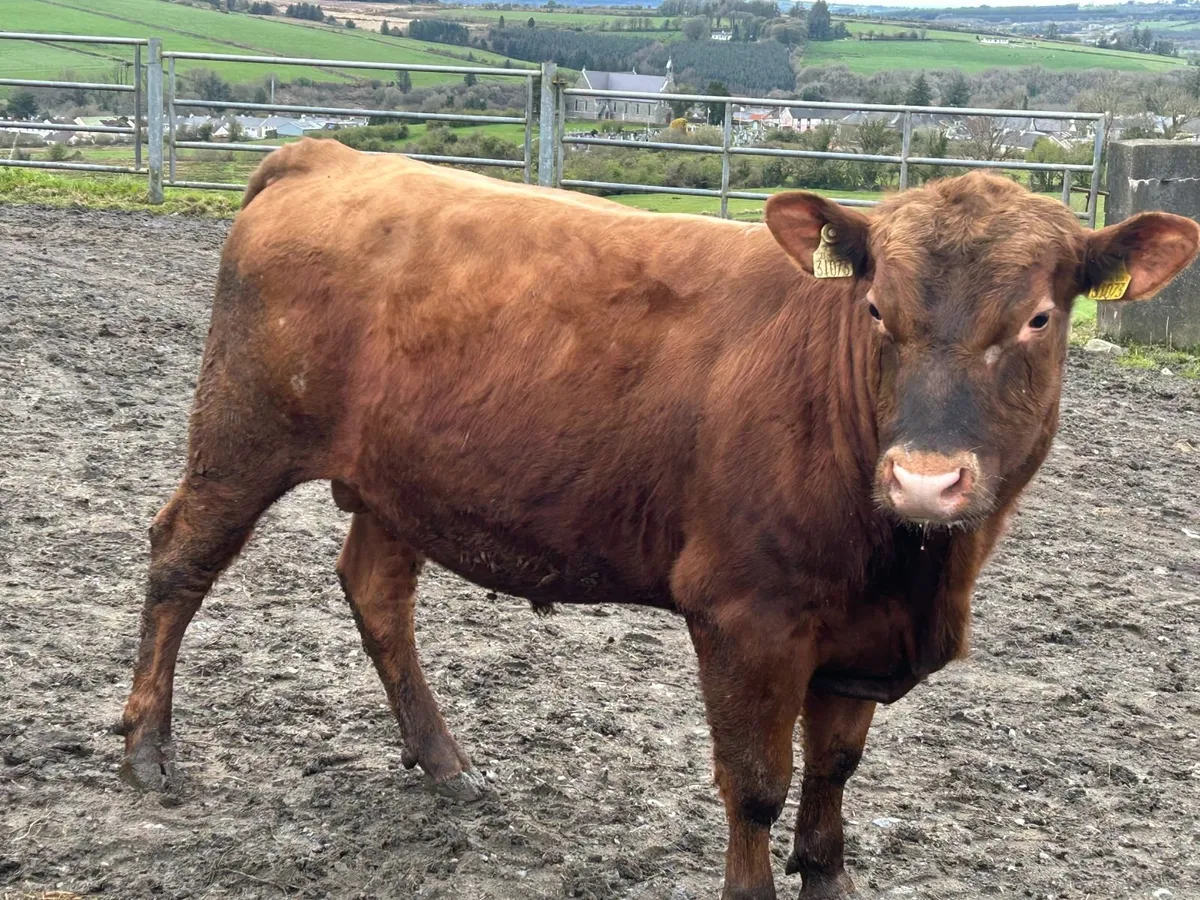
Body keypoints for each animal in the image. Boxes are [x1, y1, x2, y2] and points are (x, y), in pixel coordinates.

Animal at [114, 138, 1198, 900]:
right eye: (877, 309)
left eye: (1039, 318)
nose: (925, 480)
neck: (912, 570)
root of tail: (331, 156)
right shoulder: (745, 616)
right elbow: (756, 785)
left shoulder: (853, 642)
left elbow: (834, 777)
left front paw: (831, 874)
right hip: (241, 436)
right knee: (180, 560)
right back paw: (147, 749)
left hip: (399, 480)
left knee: (376, 593)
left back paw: (445, 762)